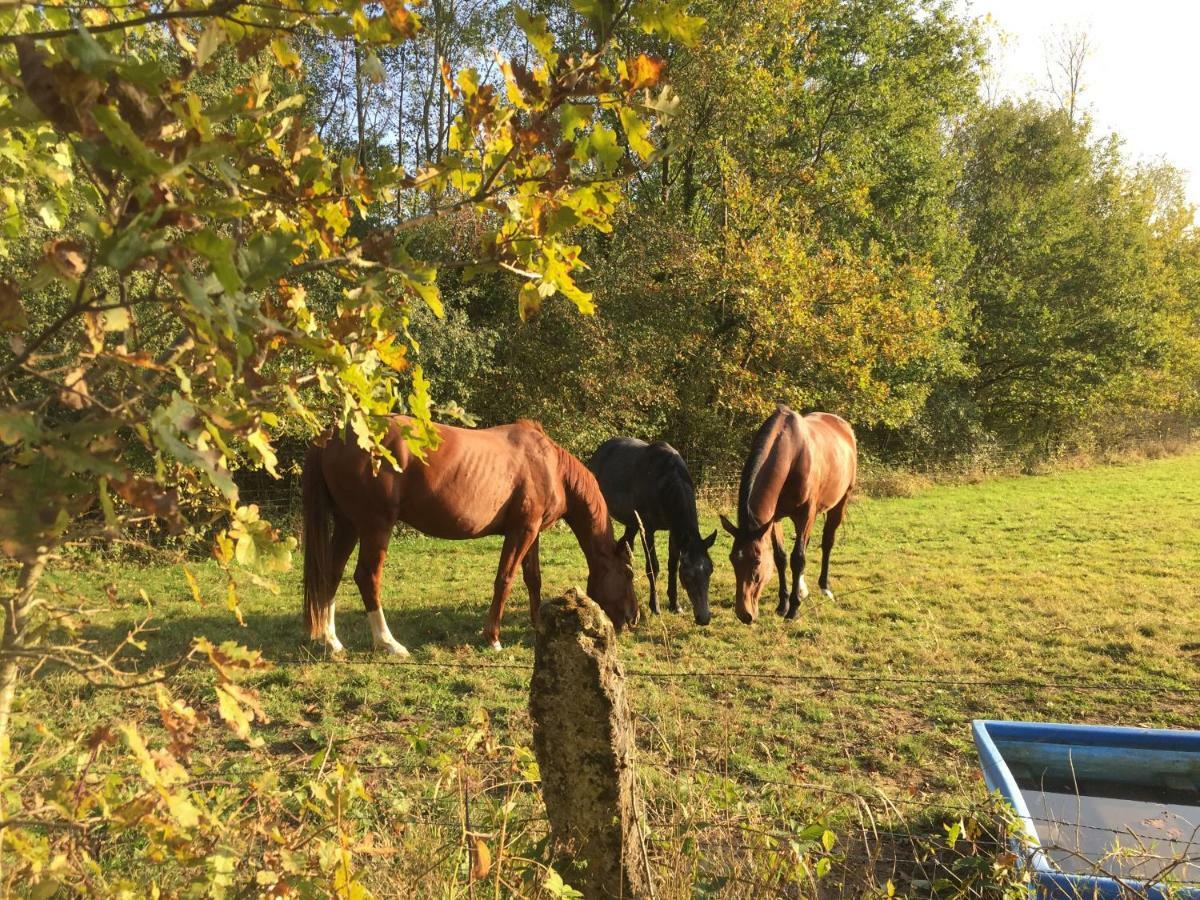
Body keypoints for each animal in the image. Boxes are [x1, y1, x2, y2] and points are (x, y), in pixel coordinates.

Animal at [300, 415, 638, 657]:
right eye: (628, 573)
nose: (633, 619)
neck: (550, 465)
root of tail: (333, 436)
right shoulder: (522, 531)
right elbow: (505, 579)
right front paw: (493, 637)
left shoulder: (532, 532)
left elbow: (533, 578)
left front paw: (537, 624)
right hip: (375, 526)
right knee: (367, 576)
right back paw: (389, 643)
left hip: (348, 524)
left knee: (331, 573)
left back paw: (332, 642)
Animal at [588, 439, 715, 628]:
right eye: (688, 575)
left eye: (710, 570)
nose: (704, 617)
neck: (664, 480)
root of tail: (599, 452)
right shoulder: (647, 530)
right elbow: (653, 567)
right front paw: (655, 606)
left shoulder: (673, 532)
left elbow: (672, 564)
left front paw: (675, 604)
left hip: (632, 522)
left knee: (626, 546)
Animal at [715, 408, 859, 628]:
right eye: (732, 560)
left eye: (757, 563)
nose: (744, 614)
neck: (793, 455)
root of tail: (843, 426)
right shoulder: (774, 519)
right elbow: (781, 558)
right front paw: (782, 605)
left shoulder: (805, 515)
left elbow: (798, 559)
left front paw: (793, 610)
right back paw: (802, 588)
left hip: (840, 503)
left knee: (827, 542)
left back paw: (824, 587)